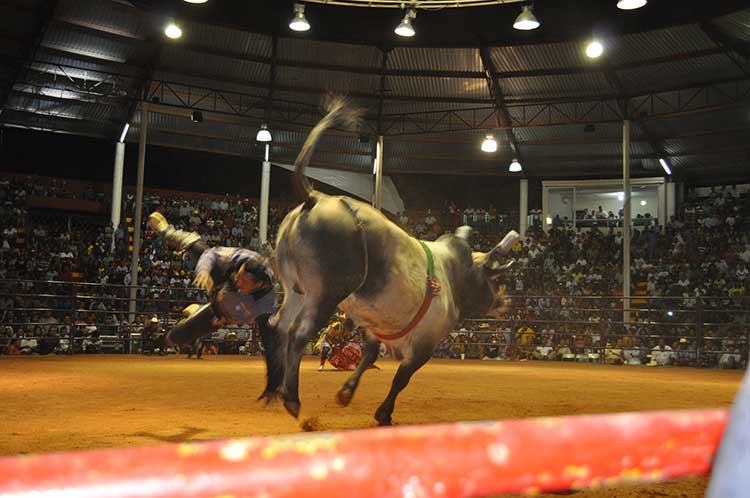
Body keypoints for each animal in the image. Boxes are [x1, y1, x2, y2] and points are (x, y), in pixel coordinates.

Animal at [260, 99, 516, 426]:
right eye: (495, 279)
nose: (505, 301)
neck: (455, 276)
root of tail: (316, 198)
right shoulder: (424, 345)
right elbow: (401, 378)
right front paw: (383, 413)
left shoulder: (377, 329)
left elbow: (368, 356)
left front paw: (346, 392)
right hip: (325, 293)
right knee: (298, 333)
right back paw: (291, 398)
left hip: (295, 290)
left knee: (277, 326)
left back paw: (272, 389)